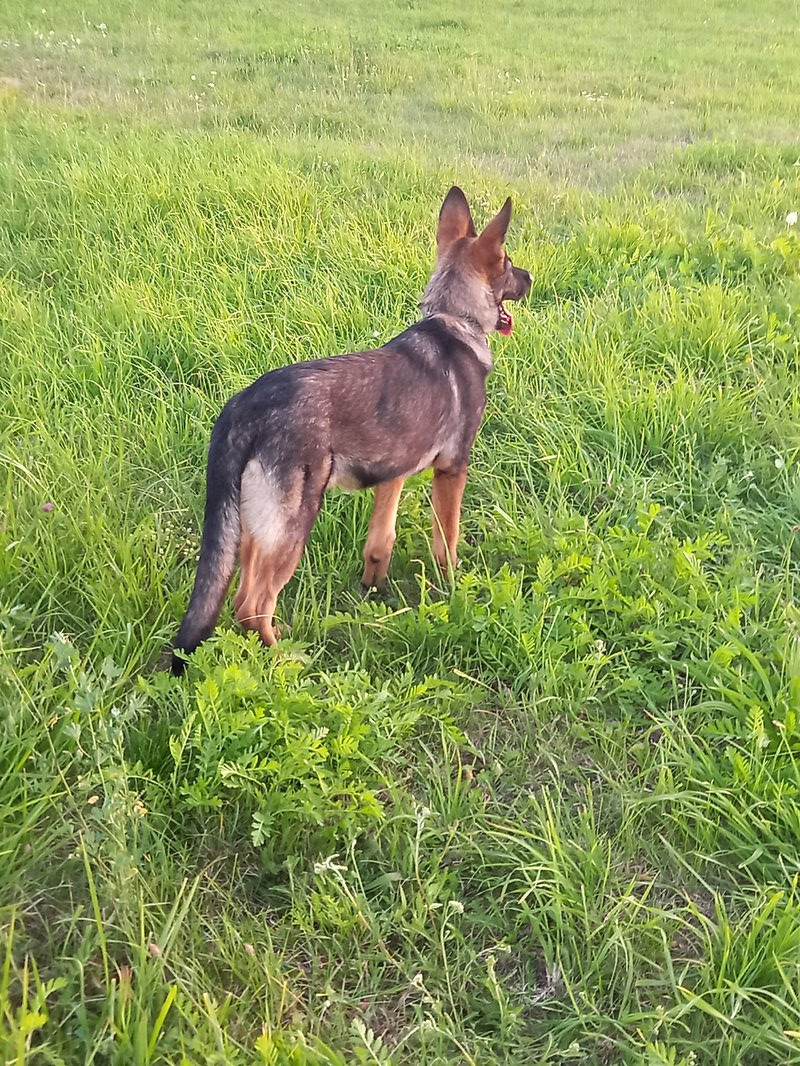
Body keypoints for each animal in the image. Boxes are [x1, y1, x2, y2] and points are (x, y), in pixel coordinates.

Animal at [171, 186, 531, 673]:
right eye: (508, 262)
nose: (531, 278)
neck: (454, 319)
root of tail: (243, 405)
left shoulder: (393, 472)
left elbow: (381, 541)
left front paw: (373, 588)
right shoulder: (452, 469)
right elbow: (447, 544)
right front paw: (452, 589)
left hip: (254, 527)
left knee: (244, 598)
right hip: (293, 522)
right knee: (252, 604)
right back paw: (287, 661)